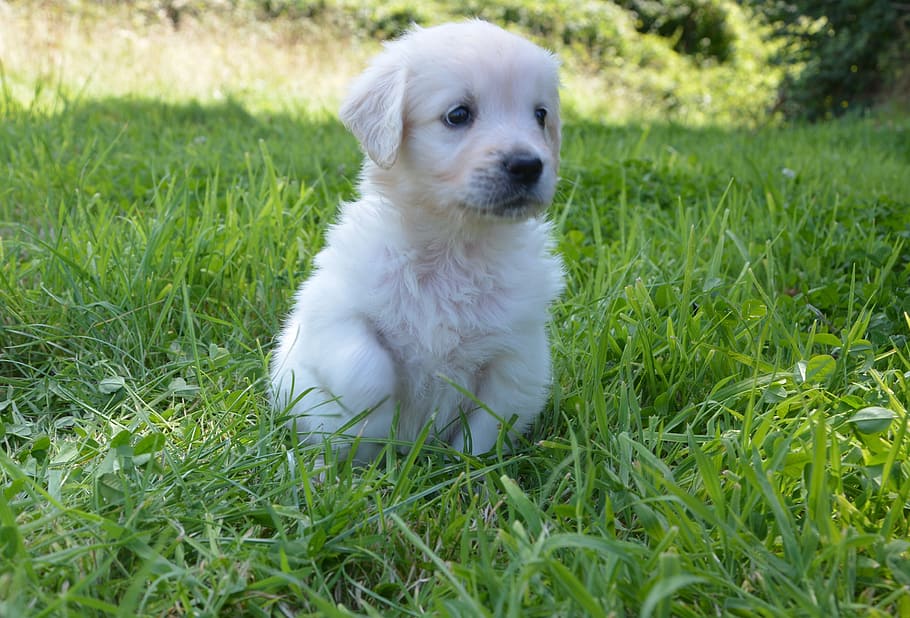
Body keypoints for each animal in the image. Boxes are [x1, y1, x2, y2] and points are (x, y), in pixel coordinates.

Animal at [270, 20, 568, 462]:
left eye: (540, 115)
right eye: (458, 115)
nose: (528, 165)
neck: (453, 247)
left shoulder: (519, 353)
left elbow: (491, 422)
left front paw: (469, 469)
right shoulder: (332, 310)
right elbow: (367, 368)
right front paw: (373, 423)